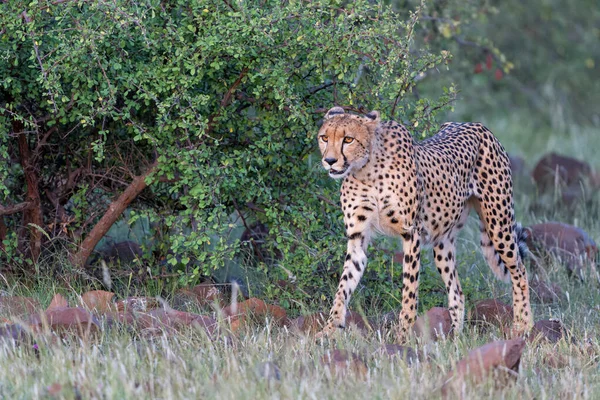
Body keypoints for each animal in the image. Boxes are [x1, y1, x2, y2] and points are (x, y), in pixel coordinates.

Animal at [316, 106, 532, 340]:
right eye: (324, 137)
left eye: (348, 139)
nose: (329, 161)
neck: (366, 170)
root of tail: (475, 125)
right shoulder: (357, 237)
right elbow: (343, 286)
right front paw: (329, 329)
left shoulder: (411, 233)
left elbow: (409, 290)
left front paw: (403, 335)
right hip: (442, 241)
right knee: (457, 292)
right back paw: (454, 339)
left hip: (499, 224)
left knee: (520, 270)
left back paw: (524, 325)